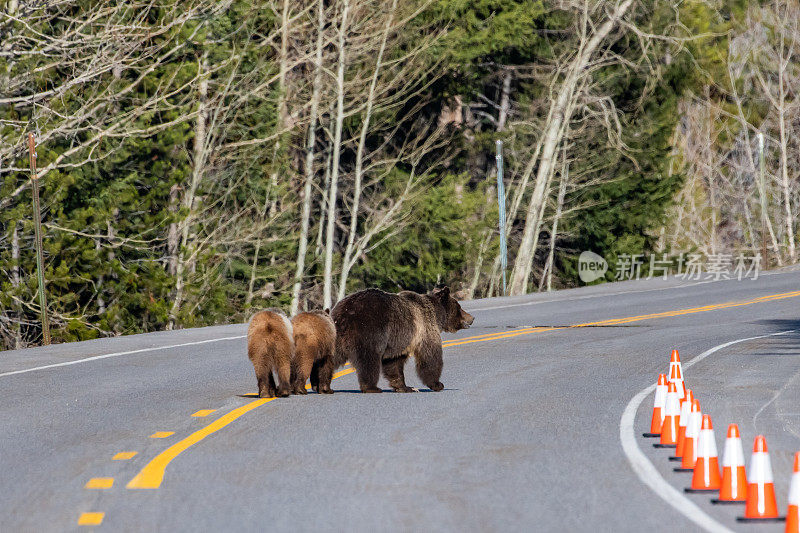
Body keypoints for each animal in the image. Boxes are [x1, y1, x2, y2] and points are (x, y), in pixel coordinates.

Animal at [332, 284, 476, 392]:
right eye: (459, 307)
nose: (472, 318)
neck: (436, 315)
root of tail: (345, 311)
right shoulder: (424, 329)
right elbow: (430, 355)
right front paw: (437, 384)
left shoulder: (399, 340)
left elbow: (394, 362)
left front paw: (405, 387)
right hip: (369, 330)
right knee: (369, 359)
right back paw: (372, 387)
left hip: (337, 335)